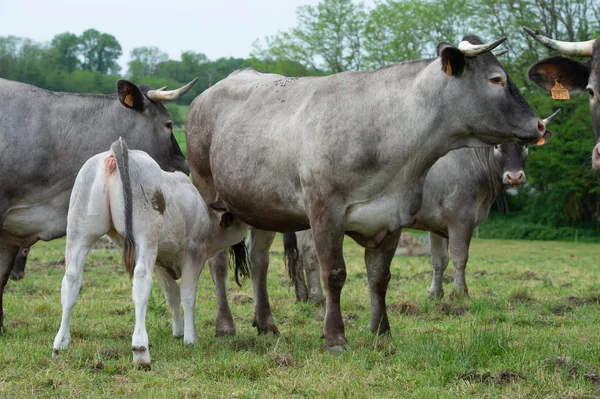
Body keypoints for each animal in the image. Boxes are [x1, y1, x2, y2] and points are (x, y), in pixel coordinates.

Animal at [185, 36, 552, 352]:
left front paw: (382, 332)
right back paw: (225, 325)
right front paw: (335, 337)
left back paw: (266, 323)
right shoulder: (325, 211)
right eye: (497, 80)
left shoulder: (392, 216)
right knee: (217, 262)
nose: (539, 125)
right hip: (209, 193)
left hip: (262, 206)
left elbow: (380, 277)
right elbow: (334, 274)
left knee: (259, 261)